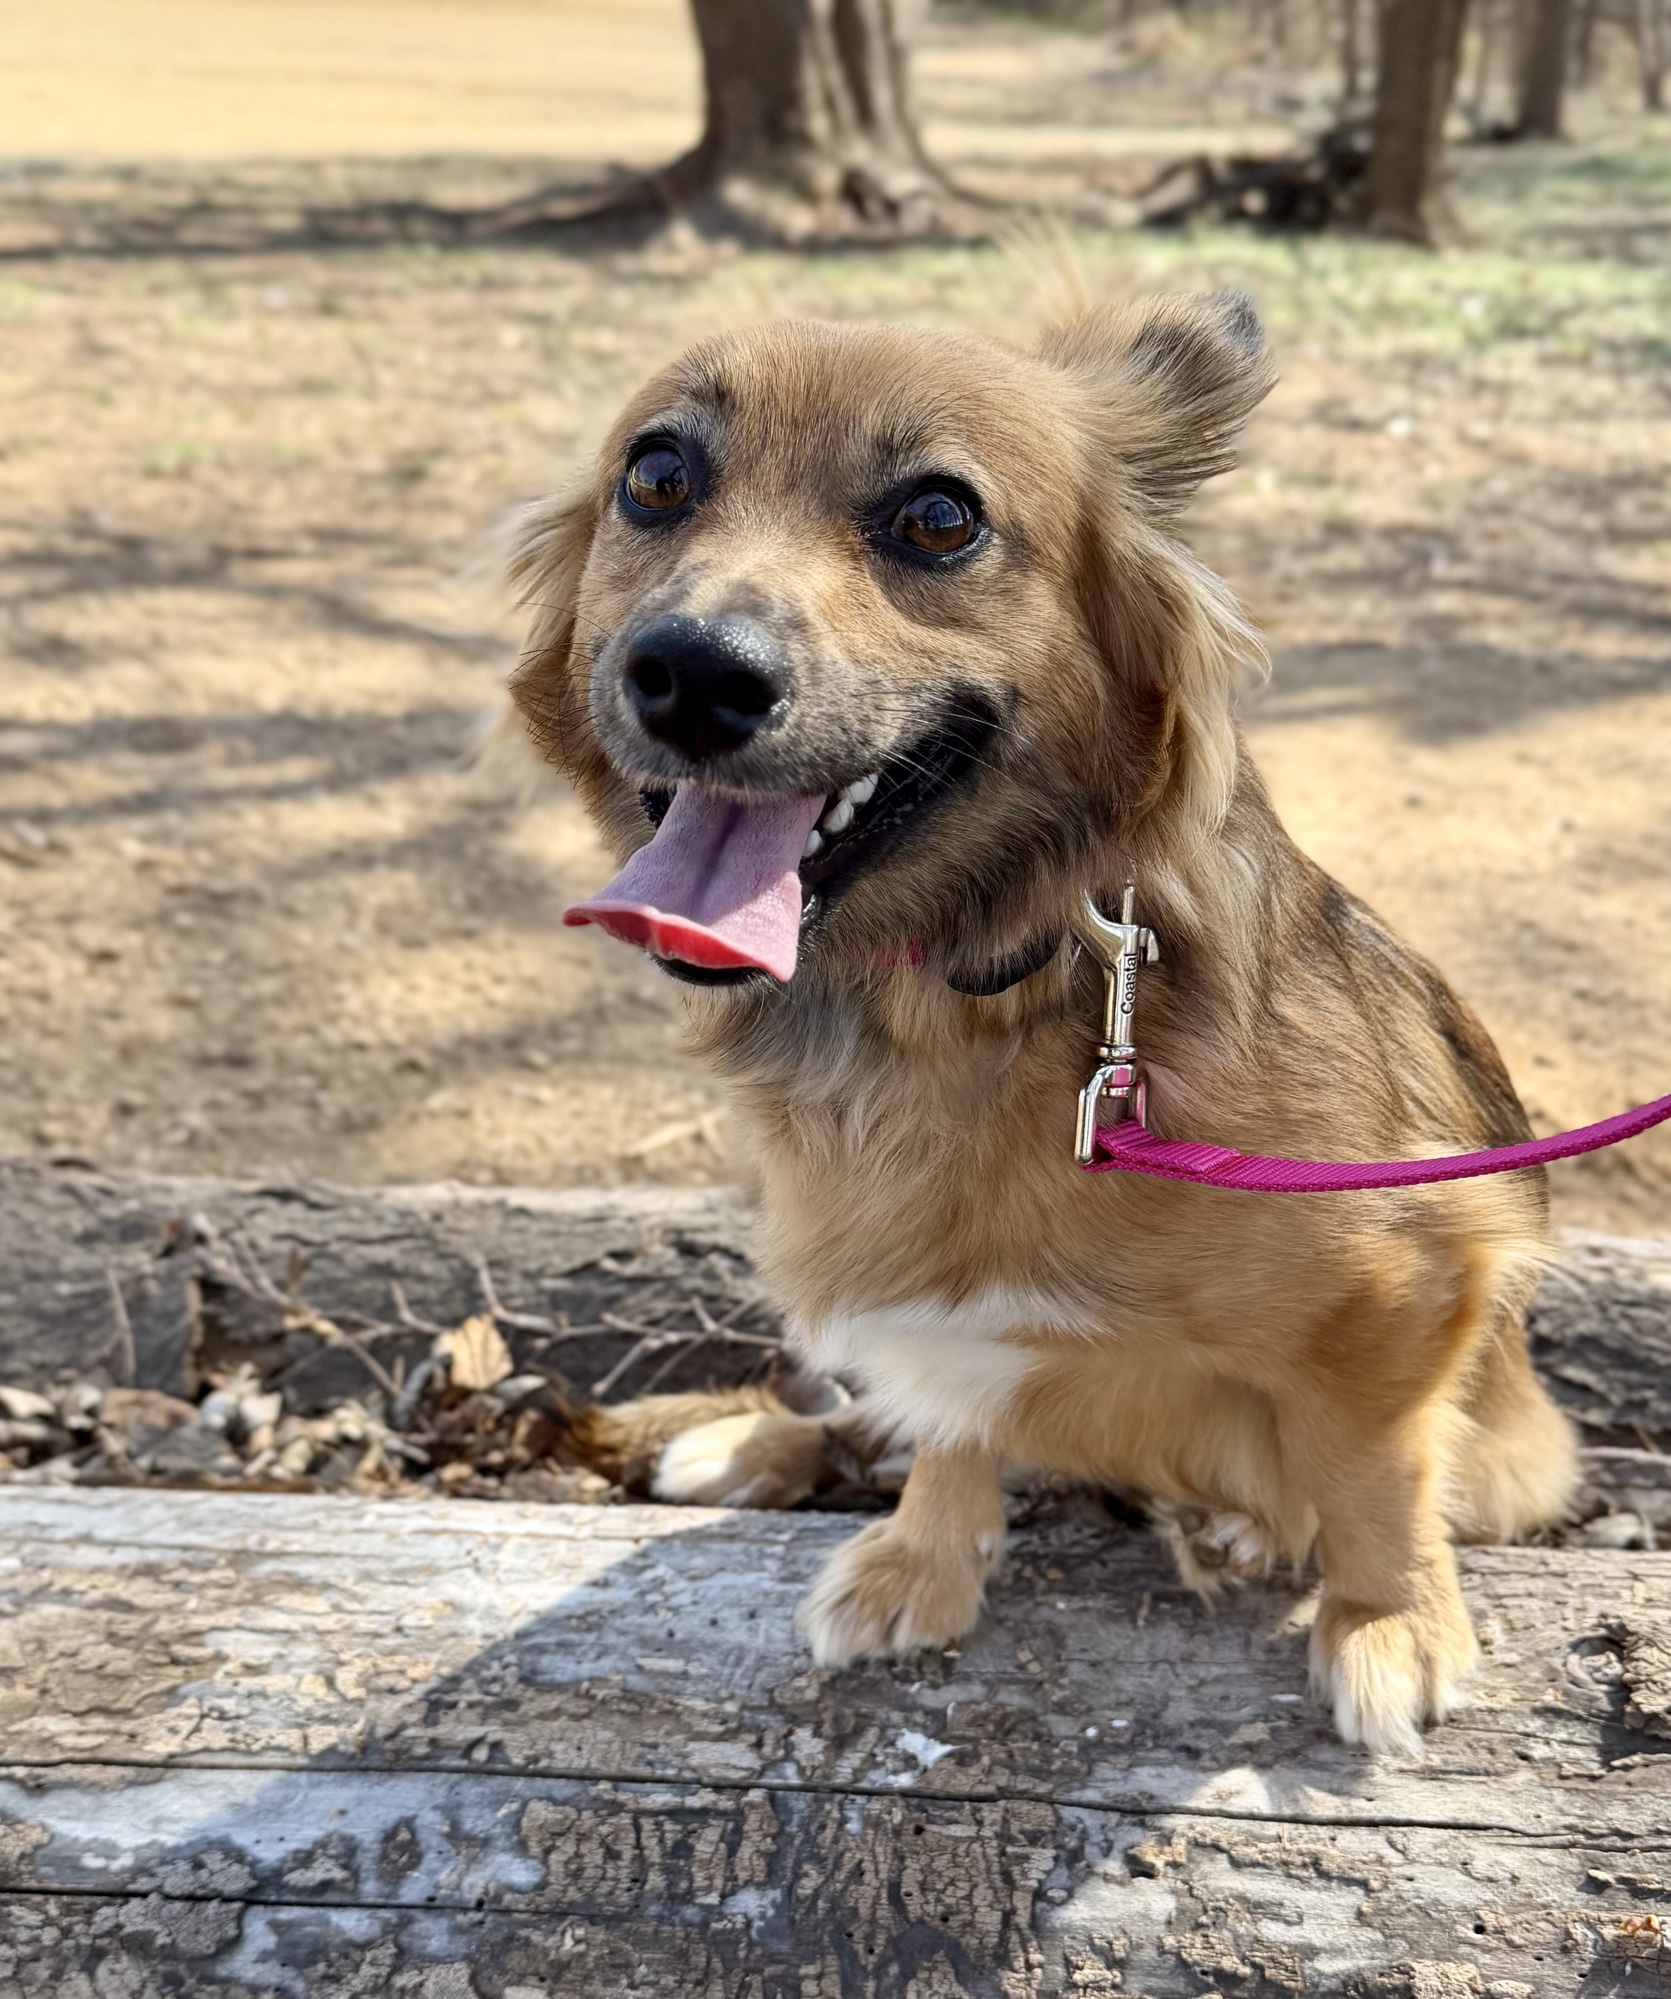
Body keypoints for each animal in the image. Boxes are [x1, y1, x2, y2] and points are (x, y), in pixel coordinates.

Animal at [509, 290, 1577, 1754]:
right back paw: (753, 1442)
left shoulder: (1412, 1279)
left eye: (936, 516)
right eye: (656, 477)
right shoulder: (920, 1285)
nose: (689, 674)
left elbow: (1370, 1468)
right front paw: (923, 1553)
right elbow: (952, 1410)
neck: (963, 987)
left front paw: (1388, 1616)